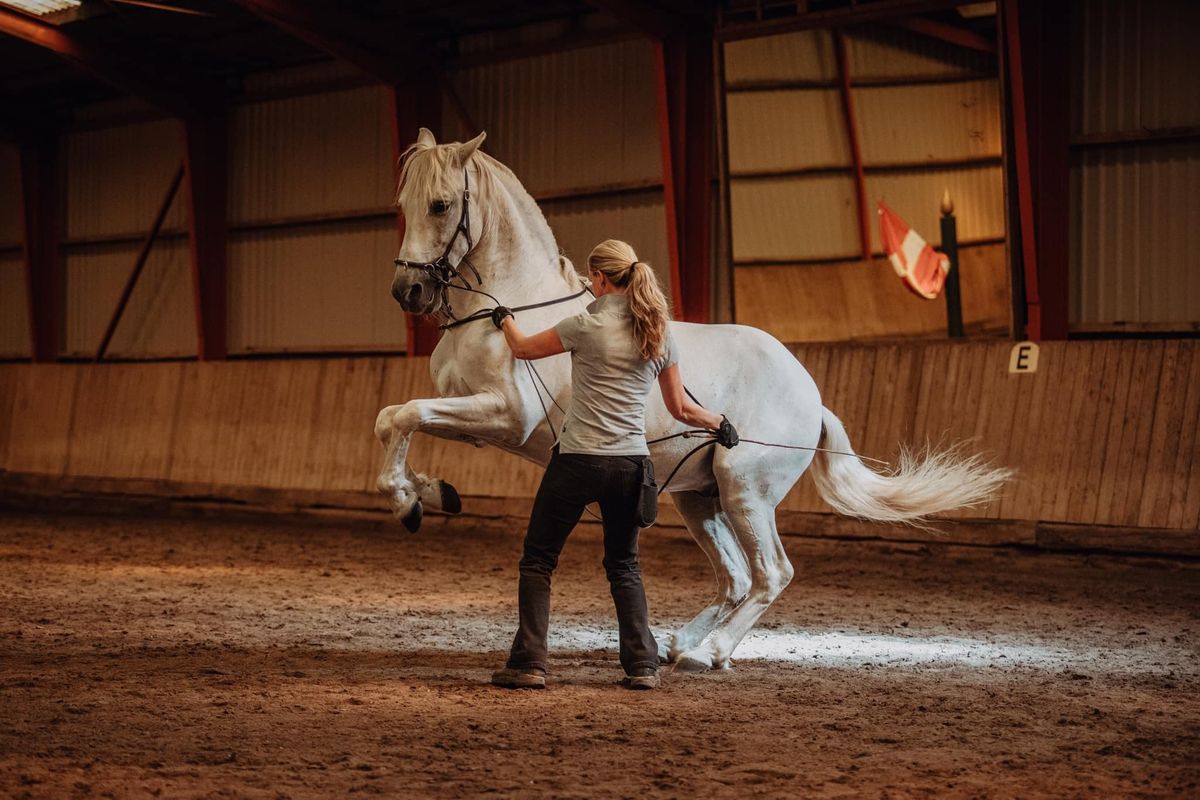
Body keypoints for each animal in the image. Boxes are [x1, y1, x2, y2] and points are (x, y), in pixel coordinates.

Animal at [374, 130, 1012, 671]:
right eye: (404, 205)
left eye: (439, 205)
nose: (408, 292)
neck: (507, 309)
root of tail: (812, 398)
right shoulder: (473, 416)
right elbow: (393, 420)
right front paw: (431, 494)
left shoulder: (505, 416)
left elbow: (406, 415)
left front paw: (409, 501)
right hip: (699, 498)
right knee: (736, 579)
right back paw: (677, 644)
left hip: (745, 490)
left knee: (770, 573)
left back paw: (708, 653)